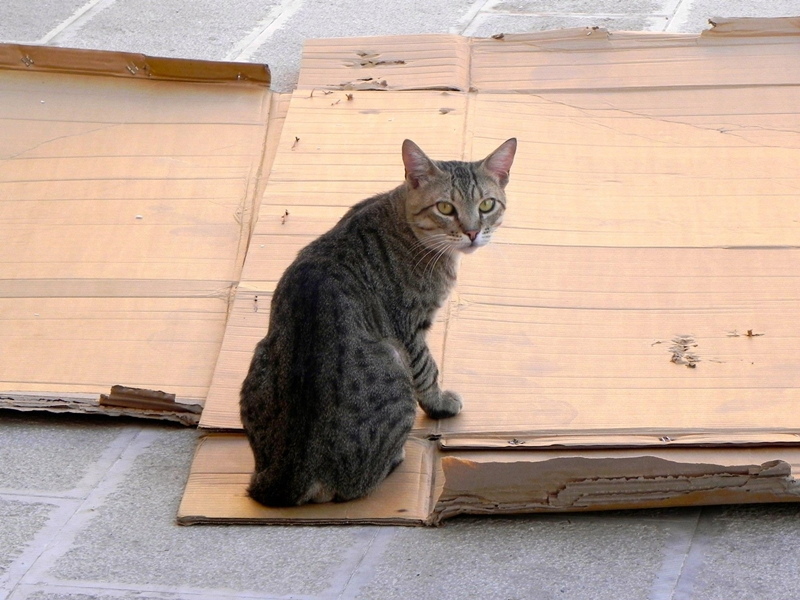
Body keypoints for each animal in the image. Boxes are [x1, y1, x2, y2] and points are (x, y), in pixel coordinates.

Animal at [239, 137, 520, 506]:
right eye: (445, 208)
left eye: (487, 204)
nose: (473, 232)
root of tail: (286, 477)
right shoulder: (410, 328)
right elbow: (428, 370)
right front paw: (440, 403)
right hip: (393, 364)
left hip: (259, 356)